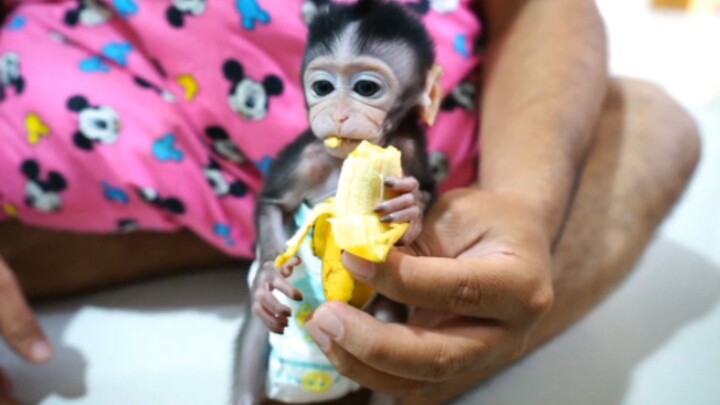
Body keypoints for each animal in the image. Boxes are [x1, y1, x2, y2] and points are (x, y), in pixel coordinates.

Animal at [233, 1, 443, 403]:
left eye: (366, 88)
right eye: (322, 87)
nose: (339, 113)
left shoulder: (409, 149)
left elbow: (427, 190)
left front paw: (410, 206)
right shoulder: (307, 158)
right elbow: (273, 204)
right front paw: (267, 276)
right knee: (254, 336)